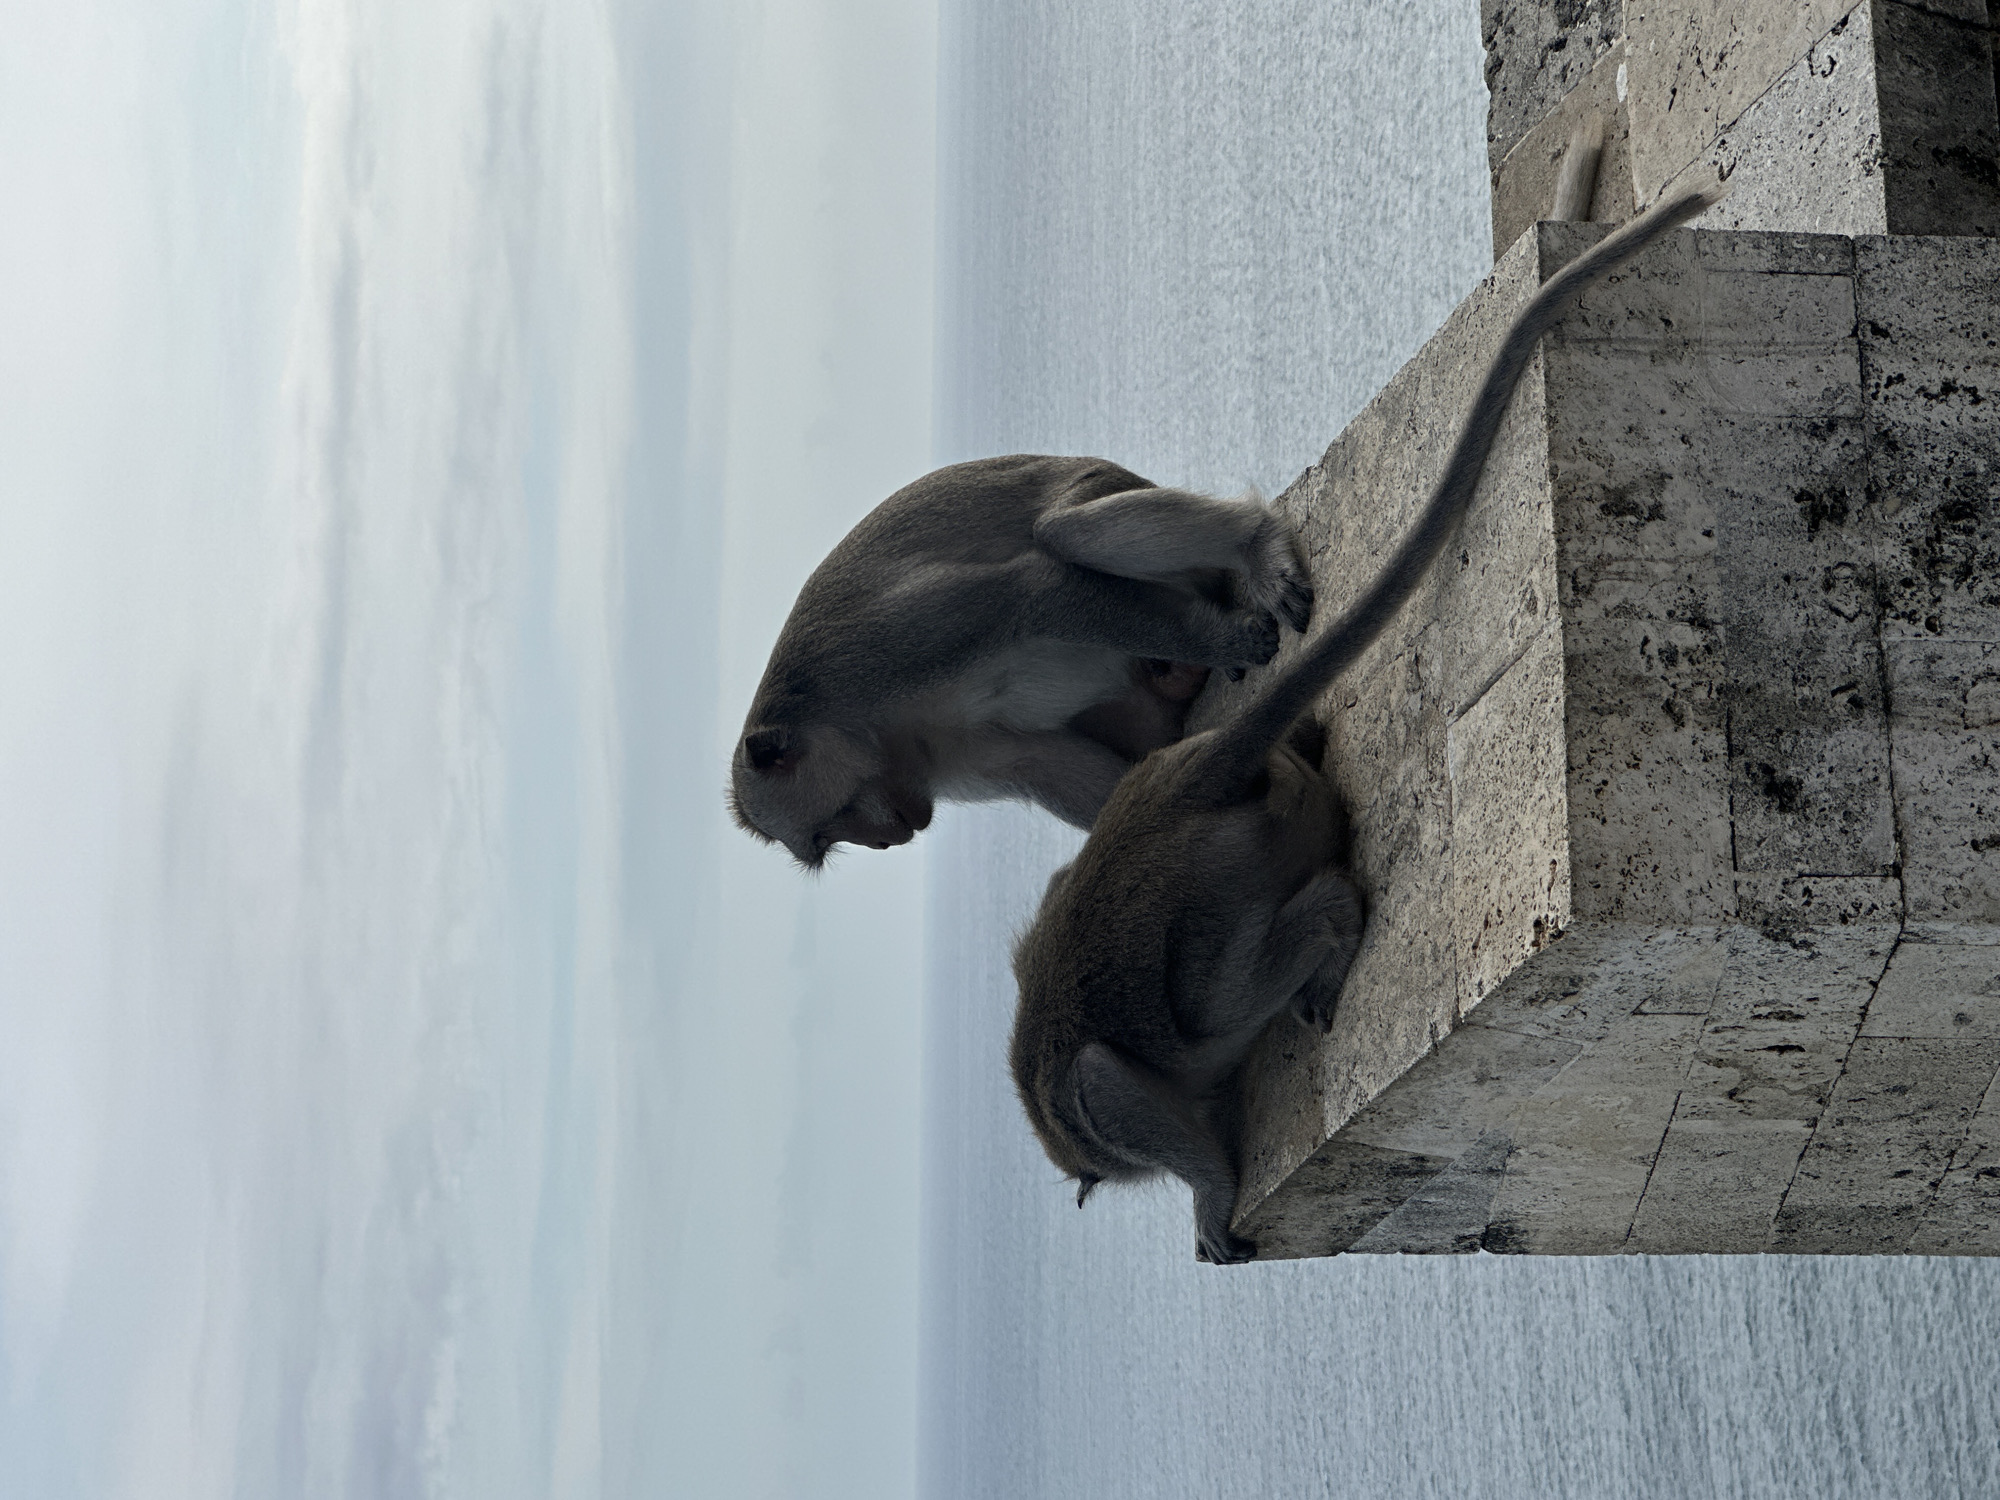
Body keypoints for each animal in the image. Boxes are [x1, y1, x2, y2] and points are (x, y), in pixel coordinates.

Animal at [729, 455, 1318, 867]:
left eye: (837, 817)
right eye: (825, 840)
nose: (885, 842)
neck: (873, 732)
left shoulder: (882, 648)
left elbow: (1033, 594)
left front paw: (1231, 642)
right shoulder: (943, 759)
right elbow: (1038, 763)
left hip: (1103, 486)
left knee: (1066, 532)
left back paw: (1256, 541)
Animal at [1009, 185, 1726, 1265]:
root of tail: (1189, 784)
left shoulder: (1099, 1095)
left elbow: (1109, 1083)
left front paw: (1209, 1192)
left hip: (1214, 904)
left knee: (1218, 996)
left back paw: (1328, 925)